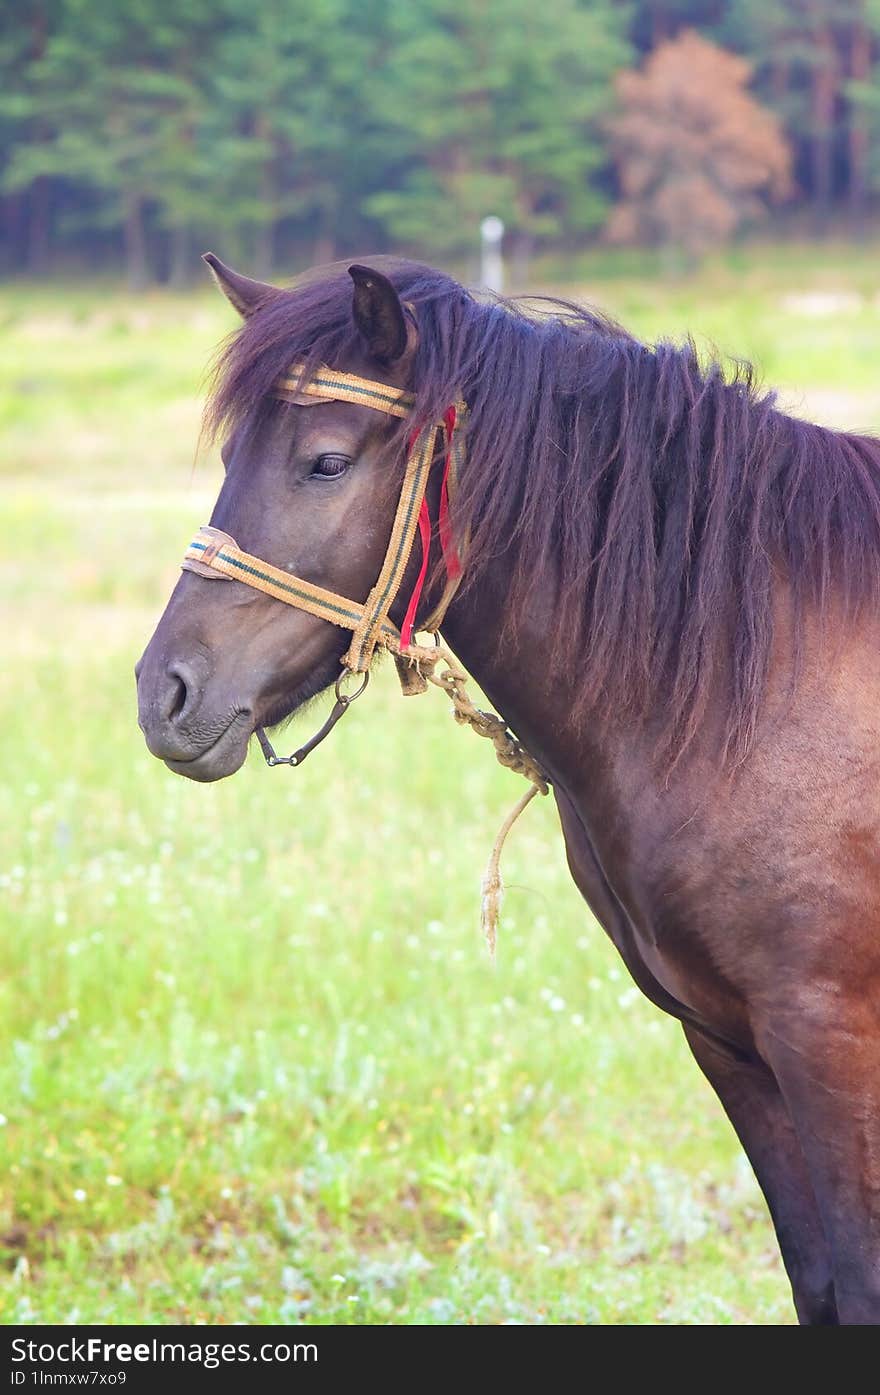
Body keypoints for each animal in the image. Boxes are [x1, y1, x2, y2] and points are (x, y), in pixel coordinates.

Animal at [132, 253, 880, 1328]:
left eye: (325, 462)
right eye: (234, 454)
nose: (166, 694)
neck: (762, 681)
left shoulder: (830, 1044)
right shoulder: (732, 1048)